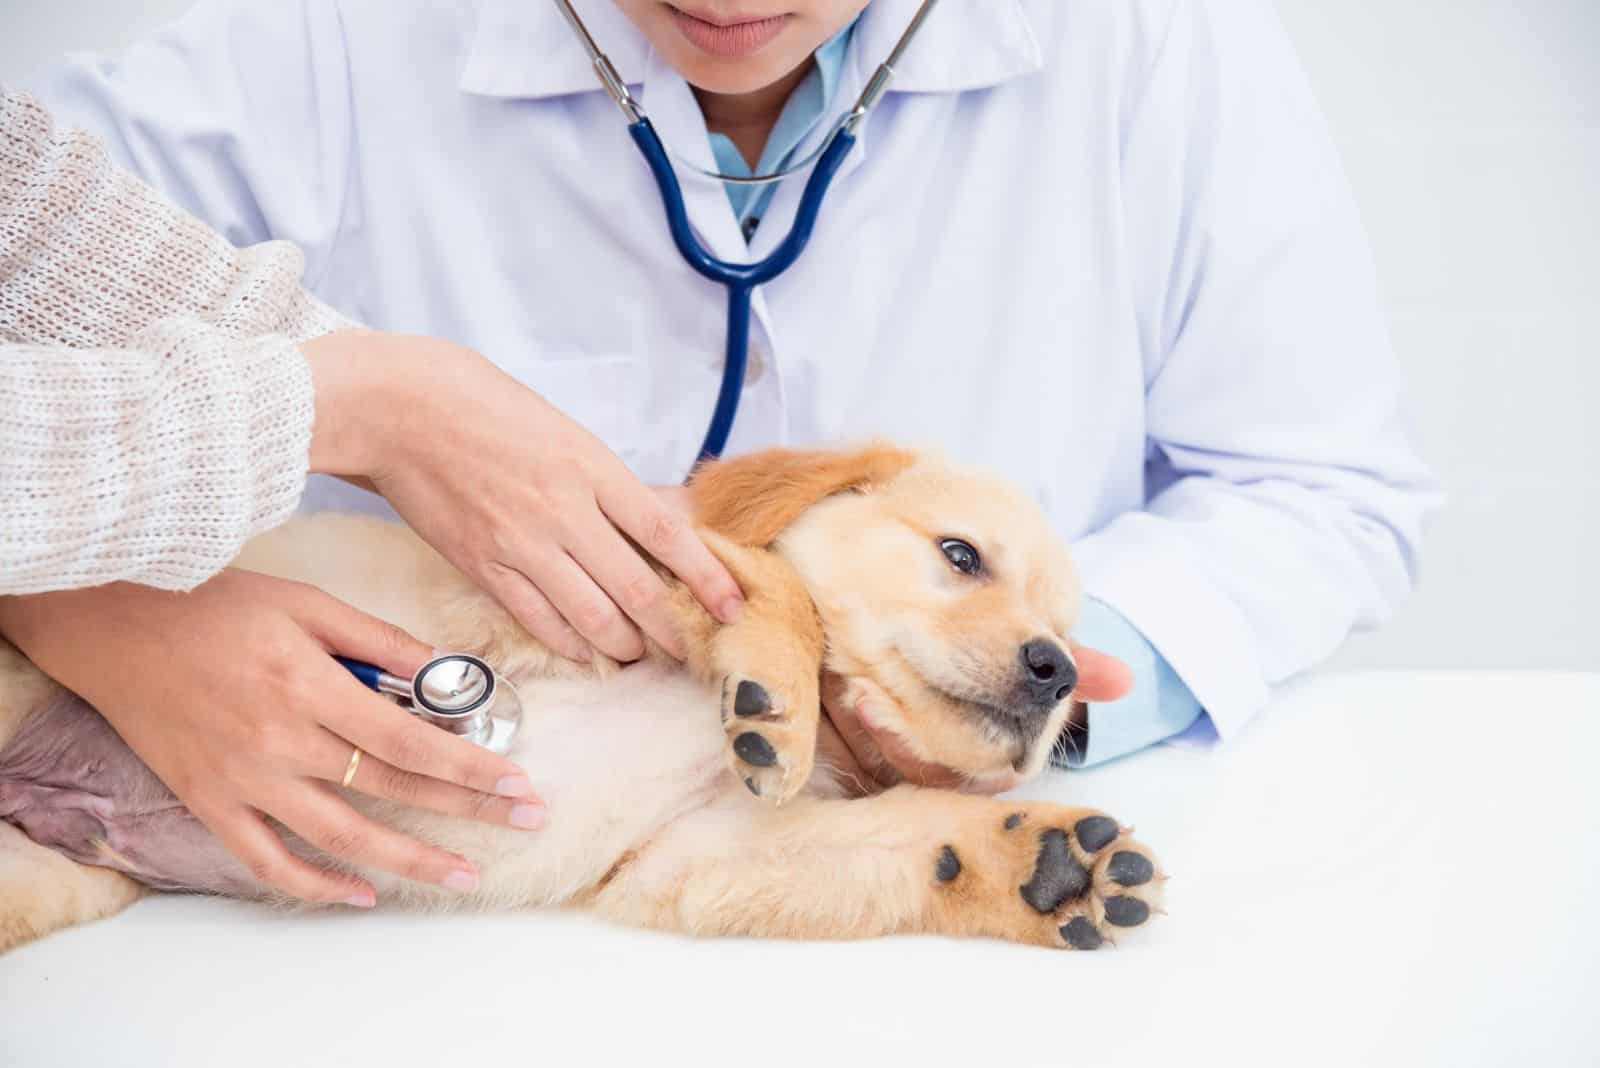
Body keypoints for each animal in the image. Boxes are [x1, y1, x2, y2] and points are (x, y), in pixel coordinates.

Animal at [0, 444, 1164, 952]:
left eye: (1069, 639)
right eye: (960, 556)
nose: (1058, 673)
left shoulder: (698, 852)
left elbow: (903, 838)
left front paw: (1040, 863)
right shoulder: (565, 583)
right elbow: (772, 580)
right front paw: (780, 692)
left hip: (55, 883)